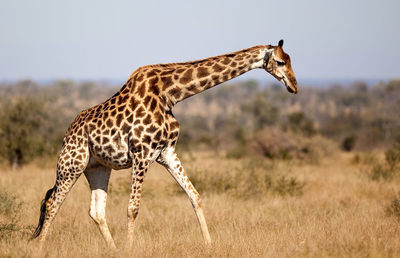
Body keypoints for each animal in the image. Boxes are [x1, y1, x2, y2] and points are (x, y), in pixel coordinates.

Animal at [32, 39, 296, 249]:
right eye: (280, 62)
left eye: (290, 60)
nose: (294, 85)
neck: (171, 94)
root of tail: (67, 133)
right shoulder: (142, 153)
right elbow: (133, 207)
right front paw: (130, 249)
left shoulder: (167, 152)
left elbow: (195, 196)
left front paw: (209, 244)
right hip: (72, 164)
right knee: (53, 203)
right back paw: (41, 248)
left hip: (97, 167)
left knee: (96, 211)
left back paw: (112, 250)